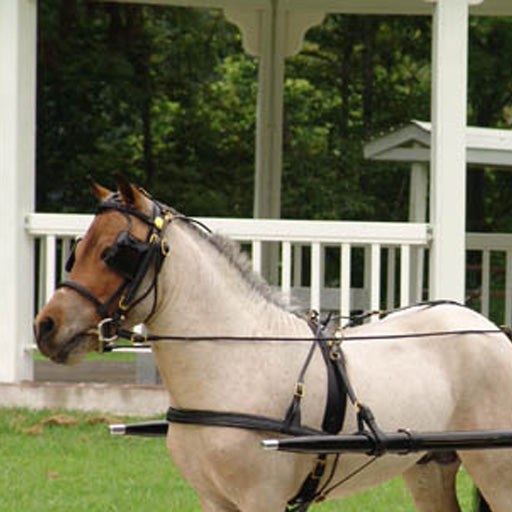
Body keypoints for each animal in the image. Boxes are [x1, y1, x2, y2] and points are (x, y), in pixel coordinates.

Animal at [35, 178, 512, 510]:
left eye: (116, 252)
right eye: (78, 248)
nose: (46, 326)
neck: (233, 359)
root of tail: (489, 328)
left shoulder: (260, 498)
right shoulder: (214, 499)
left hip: (496, 469)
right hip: (430, 465)